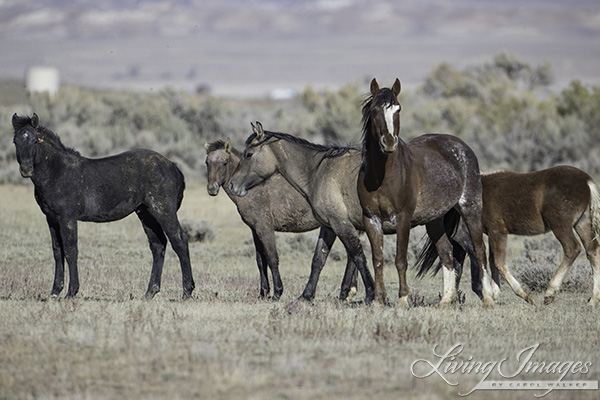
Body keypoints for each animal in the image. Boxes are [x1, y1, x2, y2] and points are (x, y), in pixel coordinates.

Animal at [11, 114, 195, 298]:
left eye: (35, 140)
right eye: (15, 141)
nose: (26, 169)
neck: (57, 172)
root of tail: (173, 165)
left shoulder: (67, 218)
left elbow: (71, 251)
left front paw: (71, 292)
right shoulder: (51, 219)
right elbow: (58, 251)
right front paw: (55, 291)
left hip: (163, 210)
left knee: (179, 241)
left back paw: (187, 291)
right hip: (146, 214)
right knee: (158, 246)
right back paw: (150, 292)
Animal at [206, 136, 356, 298]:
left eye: (224, 162)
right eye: (207, 162)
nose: (212, 189)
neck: (252, 188)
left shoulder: (265, 229)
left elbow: (272, 258)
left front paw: (277, 292)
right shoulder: (255, 230)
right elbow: (260, 261)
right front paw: (263, 293)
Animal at [358, 79, 494, 308]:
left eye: (398, 109)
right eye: (374, 110)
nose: (389, 143)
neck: (381, 176)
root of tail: (462, 147)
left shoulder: (402, 219)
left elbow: (400, 260)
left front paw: (403, 299)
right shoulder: (371, 219)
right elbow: (377, 260)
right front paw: (378, 301)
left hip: (470, 209)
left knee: (479, 249)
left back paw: (489, 298)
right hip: (435, 220)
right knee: (447, 252)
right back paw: (447, 300)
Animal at [418, 166, 600, 306]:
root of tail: (587, 181)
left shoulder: (498, 232)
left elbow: (499, 263)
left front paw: (526, 296)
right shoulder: (492, 234)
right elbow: (492, 262)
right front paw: (494, 293)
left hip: (561, 226)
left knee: (572, 249)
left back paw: (550, 293)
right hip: (582, 224)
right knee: (592, 251)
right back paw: (593, 300)